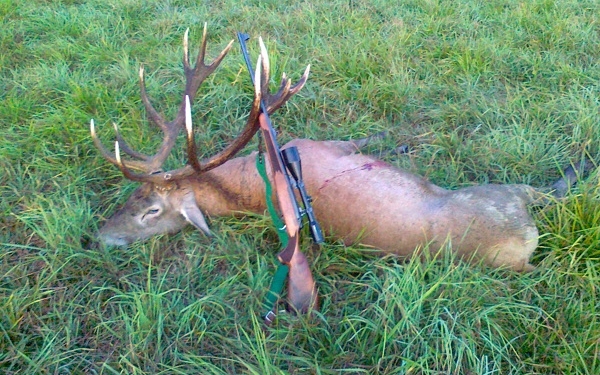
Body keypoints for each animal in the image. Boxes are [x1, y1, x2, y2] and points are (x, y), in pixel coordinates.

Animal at [92, 25, 580, 306]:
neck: (251, 176)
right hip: (507, 192)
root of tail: (522, 246)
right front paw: (402, 141)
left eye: (148, 208)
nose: (99, 237)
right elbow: (370, 138)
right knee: (554, 191)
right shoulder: (326, 146)